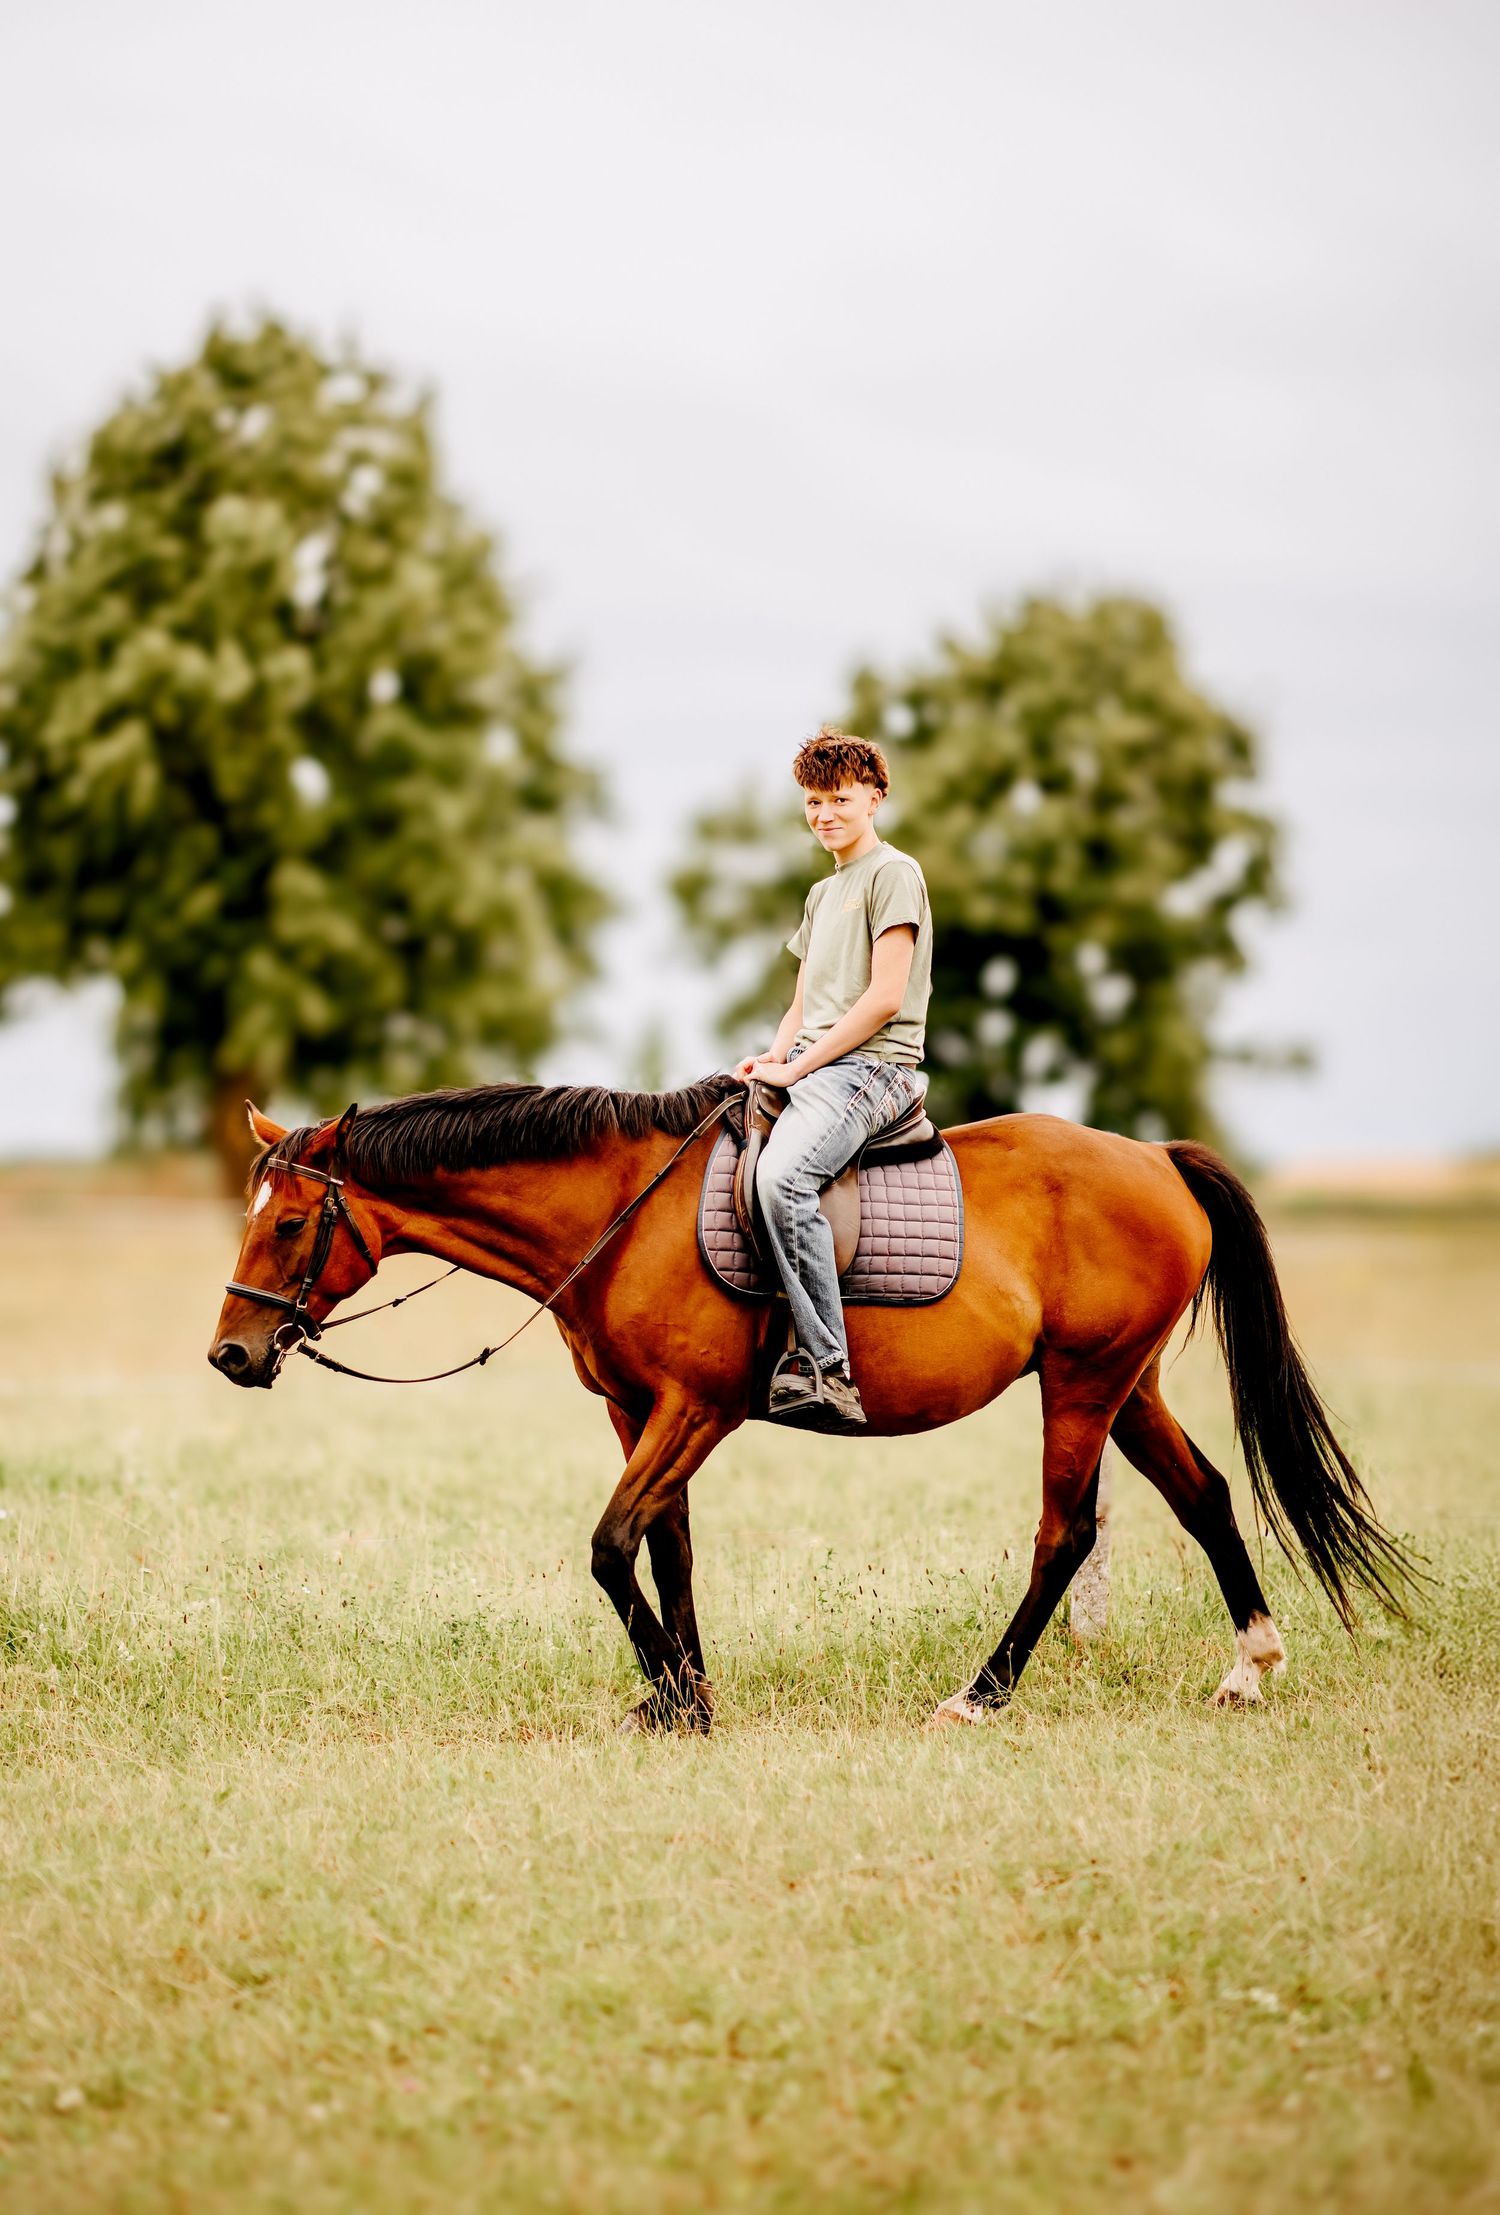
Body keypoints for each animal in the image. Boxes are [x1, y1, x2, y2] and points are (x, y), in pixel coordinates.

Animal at [207, 1076, 1414, 1733]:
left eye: (288, 1224)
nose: (230, 1352)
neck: (622, 1213)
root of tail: (1155, 1157)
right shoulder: (636, 1411)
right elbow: (670, 1547)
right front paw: (683, 1697)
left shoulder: (695, 1407)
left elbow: (611, 1544)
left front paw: (674, 1696)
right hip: (1126, 1384)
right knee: (1204, 1496)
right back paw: (1250, 1667)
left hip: (1082, 1384)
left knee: (1065, 1534)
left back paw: (979, 1694)